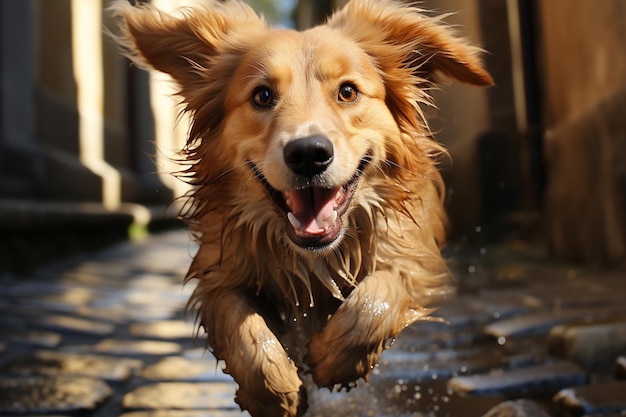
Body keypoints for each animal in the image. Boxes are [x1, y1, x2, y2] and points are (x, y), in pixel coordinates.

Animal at [113, 0, 492, 412]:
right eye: (262, 95)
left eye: (348, 92)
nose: (309, 153)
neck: (314, 260)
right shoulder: (219, 272)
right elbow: (241, 327)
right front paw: (275, 390)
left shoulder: (411, 256)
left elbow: (378, 296)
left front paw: (334, 358)